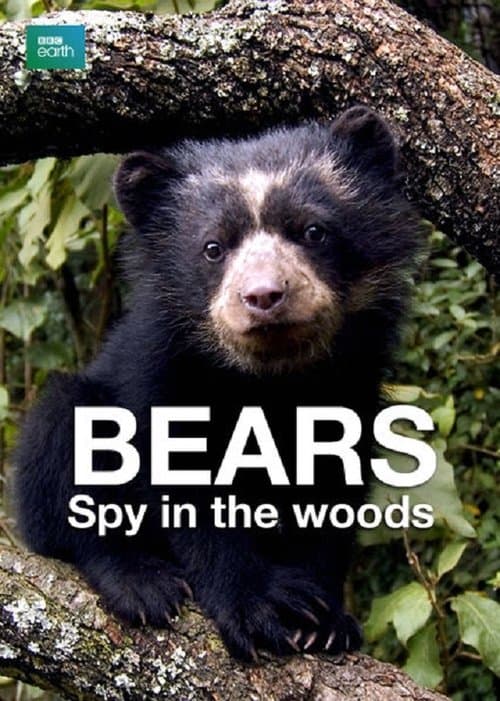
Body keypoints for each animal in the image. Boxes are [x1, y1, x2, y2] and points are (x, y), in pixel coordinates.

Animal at [14, 106, 422, 662]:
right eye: (213, 247)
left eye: (313, 231)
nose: (264, 296)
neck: (269, 378)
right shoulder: (159, 372)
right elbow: (185, 491)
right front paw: (258, 609)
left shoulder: (352, 380)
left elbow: (332, 486)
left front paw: (325, 620)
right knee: (64, 432)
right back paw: (141, 581)